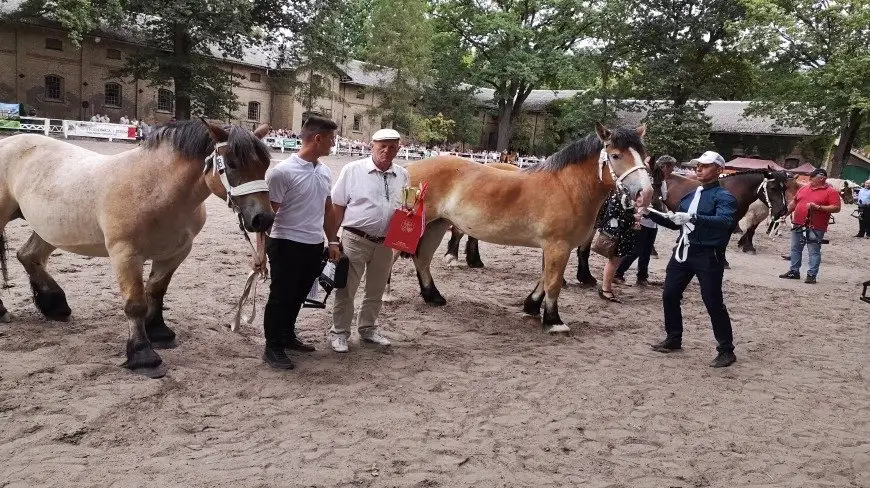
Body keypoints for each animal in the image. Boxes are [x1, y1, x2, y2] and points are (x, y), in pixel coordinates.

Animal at [0, 118, 274, 378]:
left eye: (266, 164)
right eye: (232, 164)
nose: (263, 219)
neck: (156, 188)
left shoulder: (176, 252)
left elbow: (156, 292)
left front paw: (159, 332)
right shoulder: (125, 254)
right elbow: (135, 304)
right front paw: (143, 356)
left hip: (48, 228)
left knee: (29, 255)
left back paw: (55, 305)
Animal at [398, 124, 652, 334]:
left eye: (644, 157)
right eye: (616, 155)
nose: (645, 193)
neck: (567, 187)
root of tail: (409, 168)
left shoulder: (554, 247)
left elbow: (545, 277)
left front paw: (531, 306)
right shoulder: (558, 246)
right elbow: (553, 282)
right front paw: (554, 321)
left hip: (436, 225)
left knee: (422, 259)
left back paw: (433, 296)